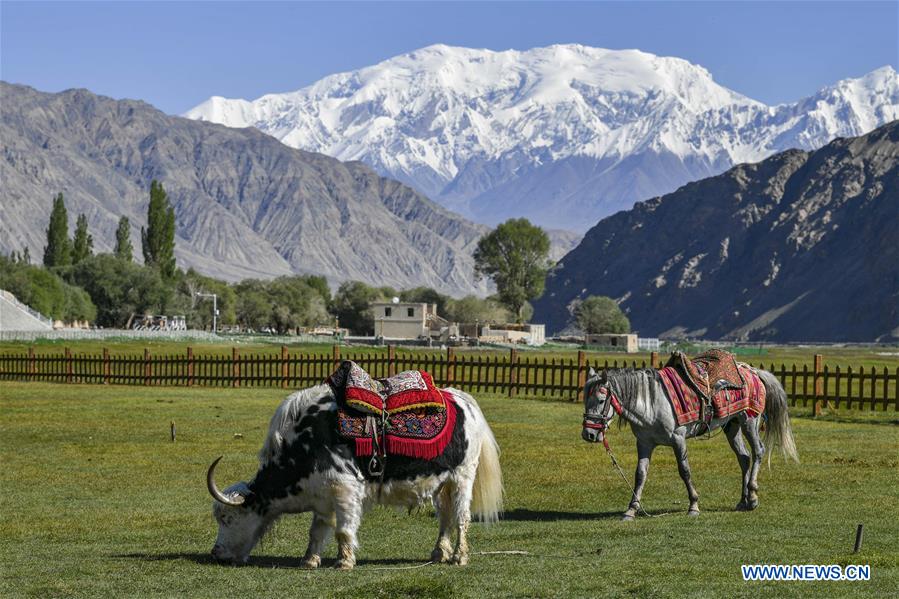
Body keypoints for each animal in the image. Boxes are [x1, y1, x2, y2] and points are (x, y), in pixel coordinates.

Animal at [584, 366, 800, 520]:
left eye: (601, 400)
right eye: (585, 400)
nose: (589, 434)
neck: (651, 402)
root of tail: (754, 372)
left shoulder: (678, 440)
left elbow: (684, 471)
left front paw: (694, 506)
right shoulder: (644, 443)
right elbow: (640, 475)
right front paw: (631, 509)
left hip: (749, 422)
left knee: (758, 451)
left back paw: (753, 497)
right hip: (732, 425)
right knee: (744, 458)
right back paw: (743, 501)